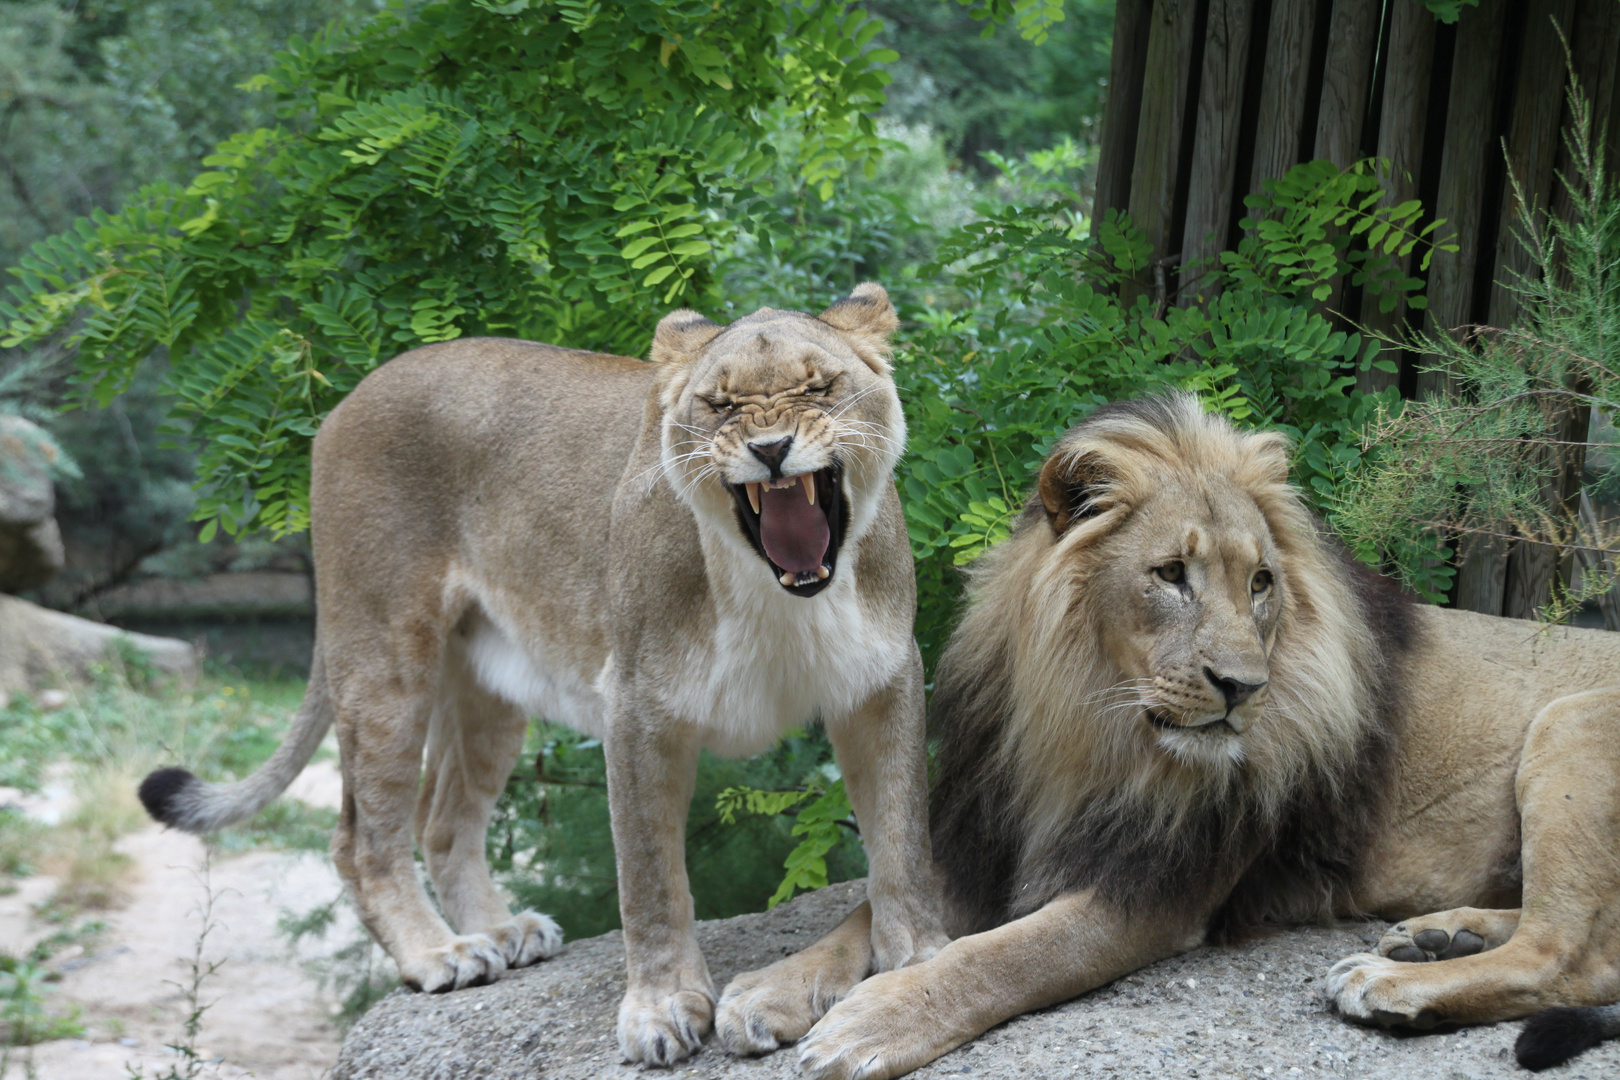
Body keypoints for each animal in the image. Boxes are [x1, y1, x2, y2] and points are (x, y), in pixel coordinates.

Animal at [142, 283, 946, 1068]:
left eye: (819, 388)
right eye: (719, 406)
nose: (771, 448)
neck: (780, 595)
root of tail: (351, 395)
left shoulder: (882, 681)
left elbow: (901, 837)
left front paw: (916, 961)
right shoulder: (636, 705)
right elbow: (650, 878)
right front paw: (660, 1009)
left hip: (487, 693)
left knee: (442, 821)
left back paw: (505, 934)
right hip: (382, 656)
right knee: (362, 839)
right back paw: (440, 953)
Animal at [754, 396, 1620, 1080]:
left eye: (1261, 583)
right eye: (1171, 574)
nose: (1243, 688)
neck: (1084, 726)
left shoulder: (1156, 887)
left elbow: (1005, 955)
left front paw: (873, 1020)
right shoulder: (986, 830)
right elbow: (874, 907)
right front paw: (771, 989)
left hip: (1570, 726)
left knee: (1571, 956)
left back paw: (1396, 986)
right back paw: (1441, 935)